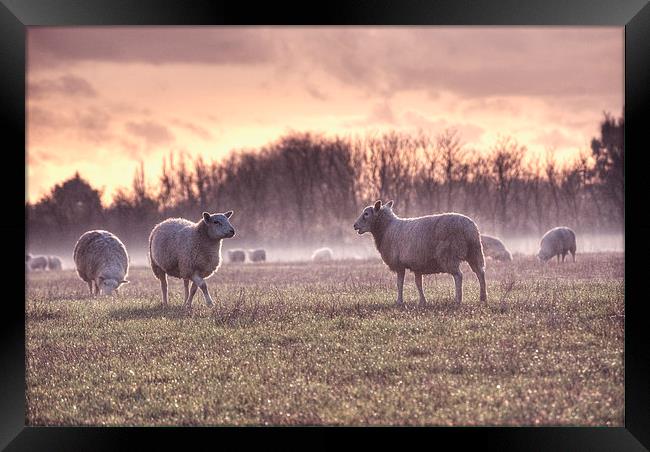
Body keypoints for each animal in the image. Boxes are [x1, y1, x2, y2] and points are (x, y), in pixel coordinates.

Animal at [352, 200, 484, 306]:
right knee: (480, 273)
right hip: (475, 252)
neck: (387, 228)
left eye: (366, 214)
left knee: (458, 276)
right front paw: (422, 301)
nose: (354, 225)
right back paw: (483, 298)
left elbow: (399, 283)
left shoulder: (399, 265)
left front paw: (399, 301)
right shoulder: (417, 265)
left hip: (449, 255)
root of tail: (467, 227)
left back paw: (458, 300)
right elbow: (418, 283)